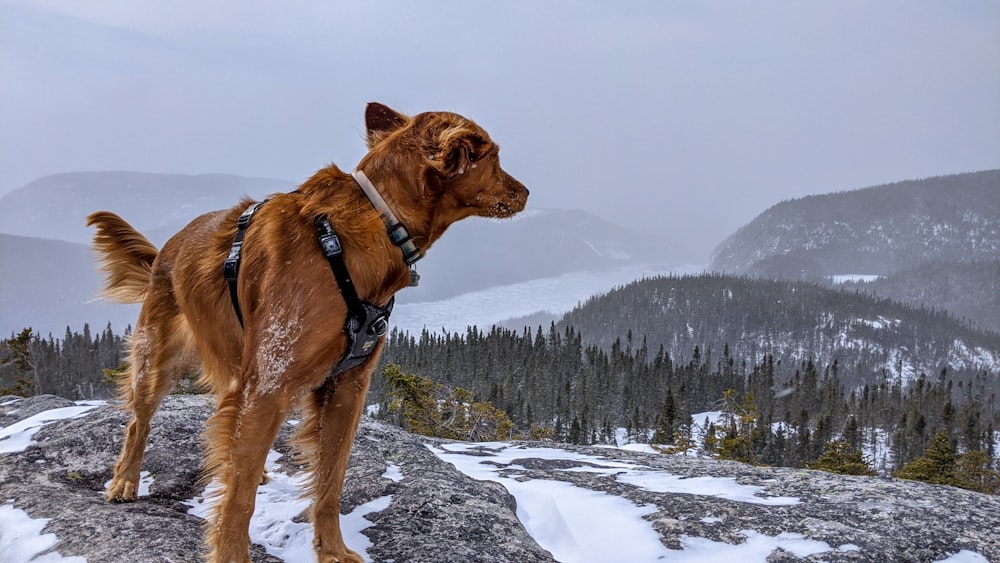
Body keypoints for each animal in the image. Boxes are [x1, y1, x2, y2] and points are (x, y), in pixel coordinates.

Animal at [87, 102, 532, 563]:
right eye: (492, 157)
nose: (526, 192)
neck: (376, 224)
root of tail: (166, 249)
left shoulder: (347, 386)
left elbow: (330, 483)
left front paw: (332, 549)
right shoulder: (269, 384)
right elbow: (239, 500)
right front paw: (232, 553)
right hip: (158, 358)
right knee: (139, 422)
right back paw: (125, 481)